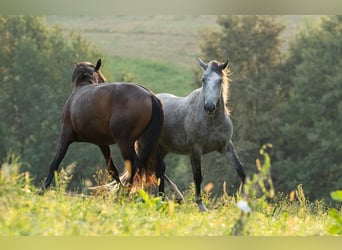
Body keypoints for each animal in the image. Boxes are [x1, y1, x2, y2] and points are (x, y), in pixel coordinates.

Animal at [43, 59, 164, 193]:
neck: (81, 87)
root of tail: (150, 96)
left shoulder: (65, 137)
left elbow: (55, 163)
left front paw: (44, 188)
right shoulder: (102, 144)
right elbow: (112, 169)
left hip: (125, 142)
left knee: (134, 165)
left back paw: (125, 193)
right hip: (150, 143)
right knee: (159, 167)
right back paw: (160, 195)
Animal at [158, 57, 246, 211]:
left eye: (220, 80)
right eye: (203, 79)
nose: (209, 107)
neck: (212, 122)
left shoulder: (226, 147)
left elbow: (241, 170)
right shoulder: (195, 150)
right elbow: (198, 177)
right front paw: (201, 205)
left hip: (163, 149)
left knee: (159, 169)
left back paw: (167, 197)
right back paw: (171, 197)